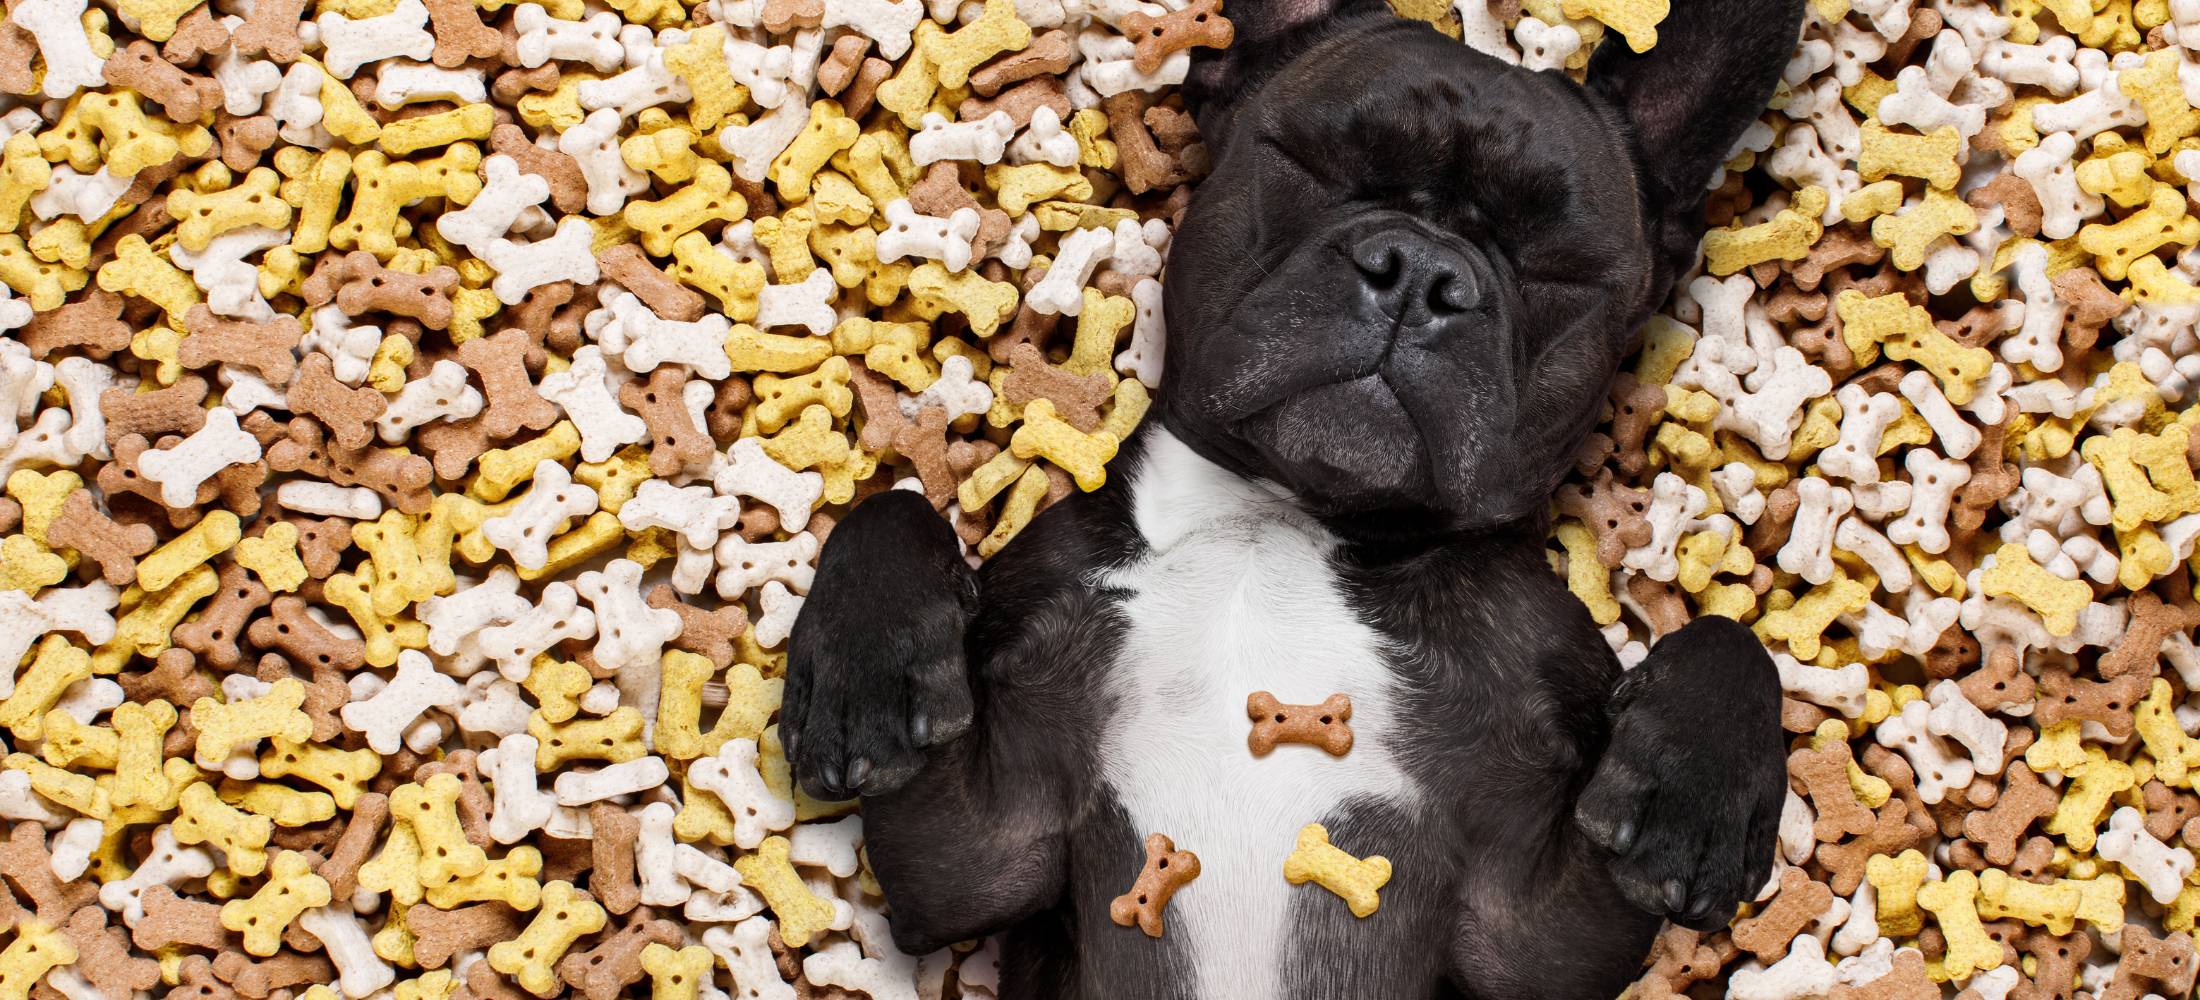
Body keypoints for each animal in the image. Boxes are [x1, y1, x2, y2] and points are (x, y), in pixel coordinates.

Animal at [792, 0, 1804, 997]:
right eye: (1313, 166)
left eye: (1556, 267)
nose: (1422, 271)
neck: (1278, 520)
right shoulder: (979, 855)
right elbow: (892, 508)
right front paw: (861, 675)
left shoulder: (1533, 940)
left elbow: (1729, 639)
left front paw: (1692, 795)